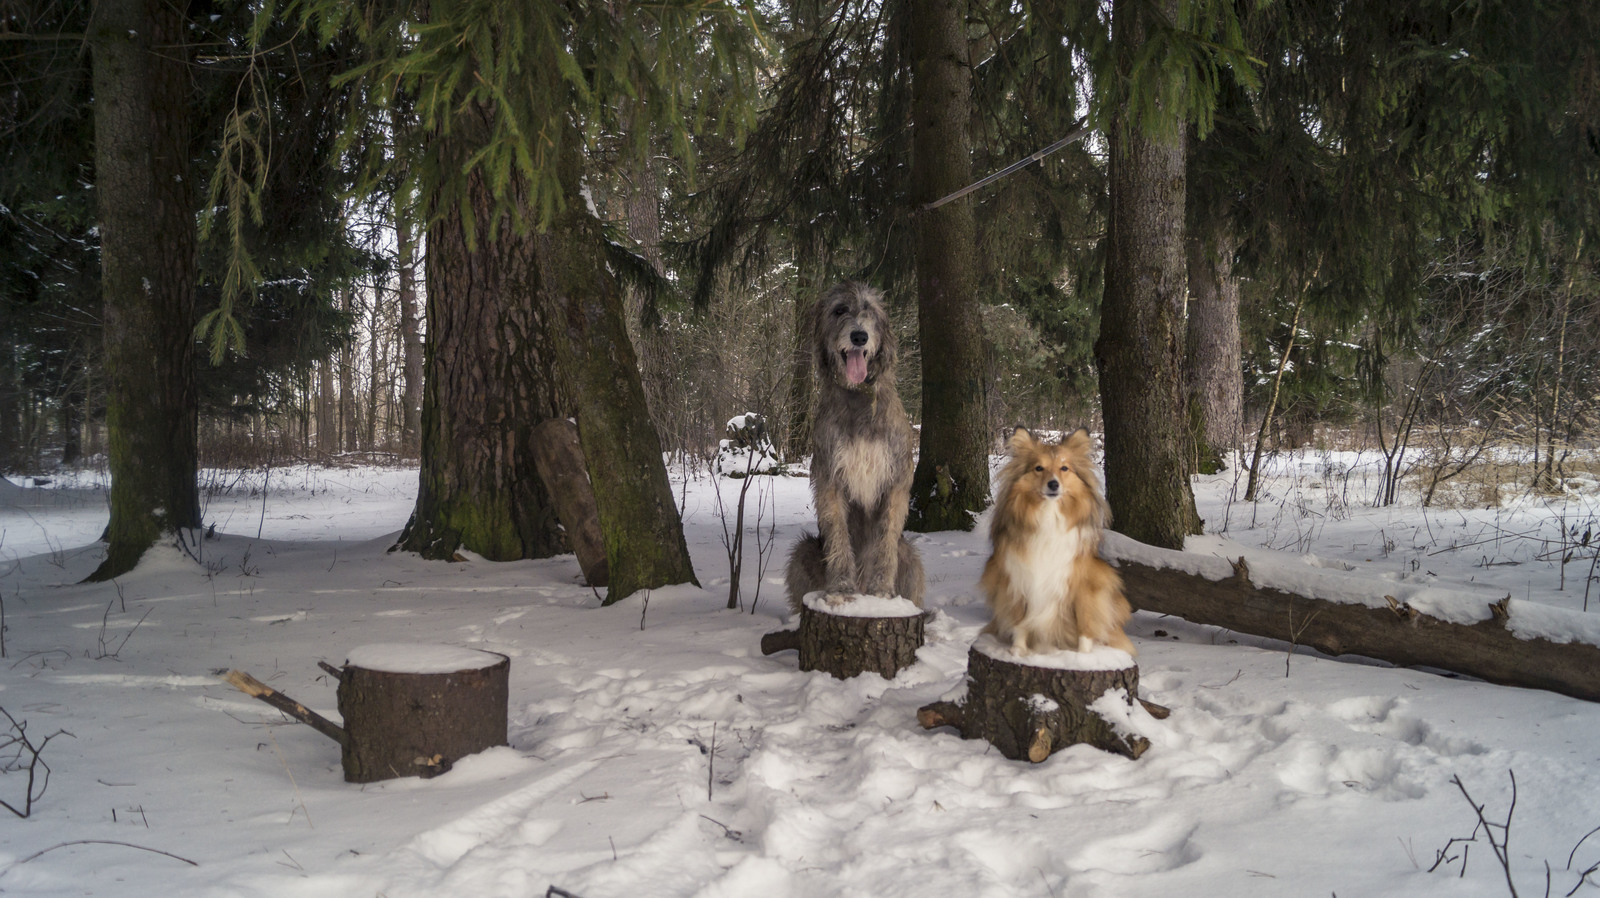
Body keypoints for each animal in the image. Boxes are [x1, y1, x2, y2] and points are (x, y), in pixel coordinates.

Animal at [784, 280, 928, 608]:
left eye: (870, 311)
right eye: (839, 310)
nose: (859, 336)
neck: (859, 396)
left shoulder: (896, 477)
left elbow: (885, 539)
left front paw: (882, 590)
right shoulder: (830, 476)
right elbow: (838, 534)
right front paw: (840, 588)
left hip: (911, 558)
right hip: (803, 553)